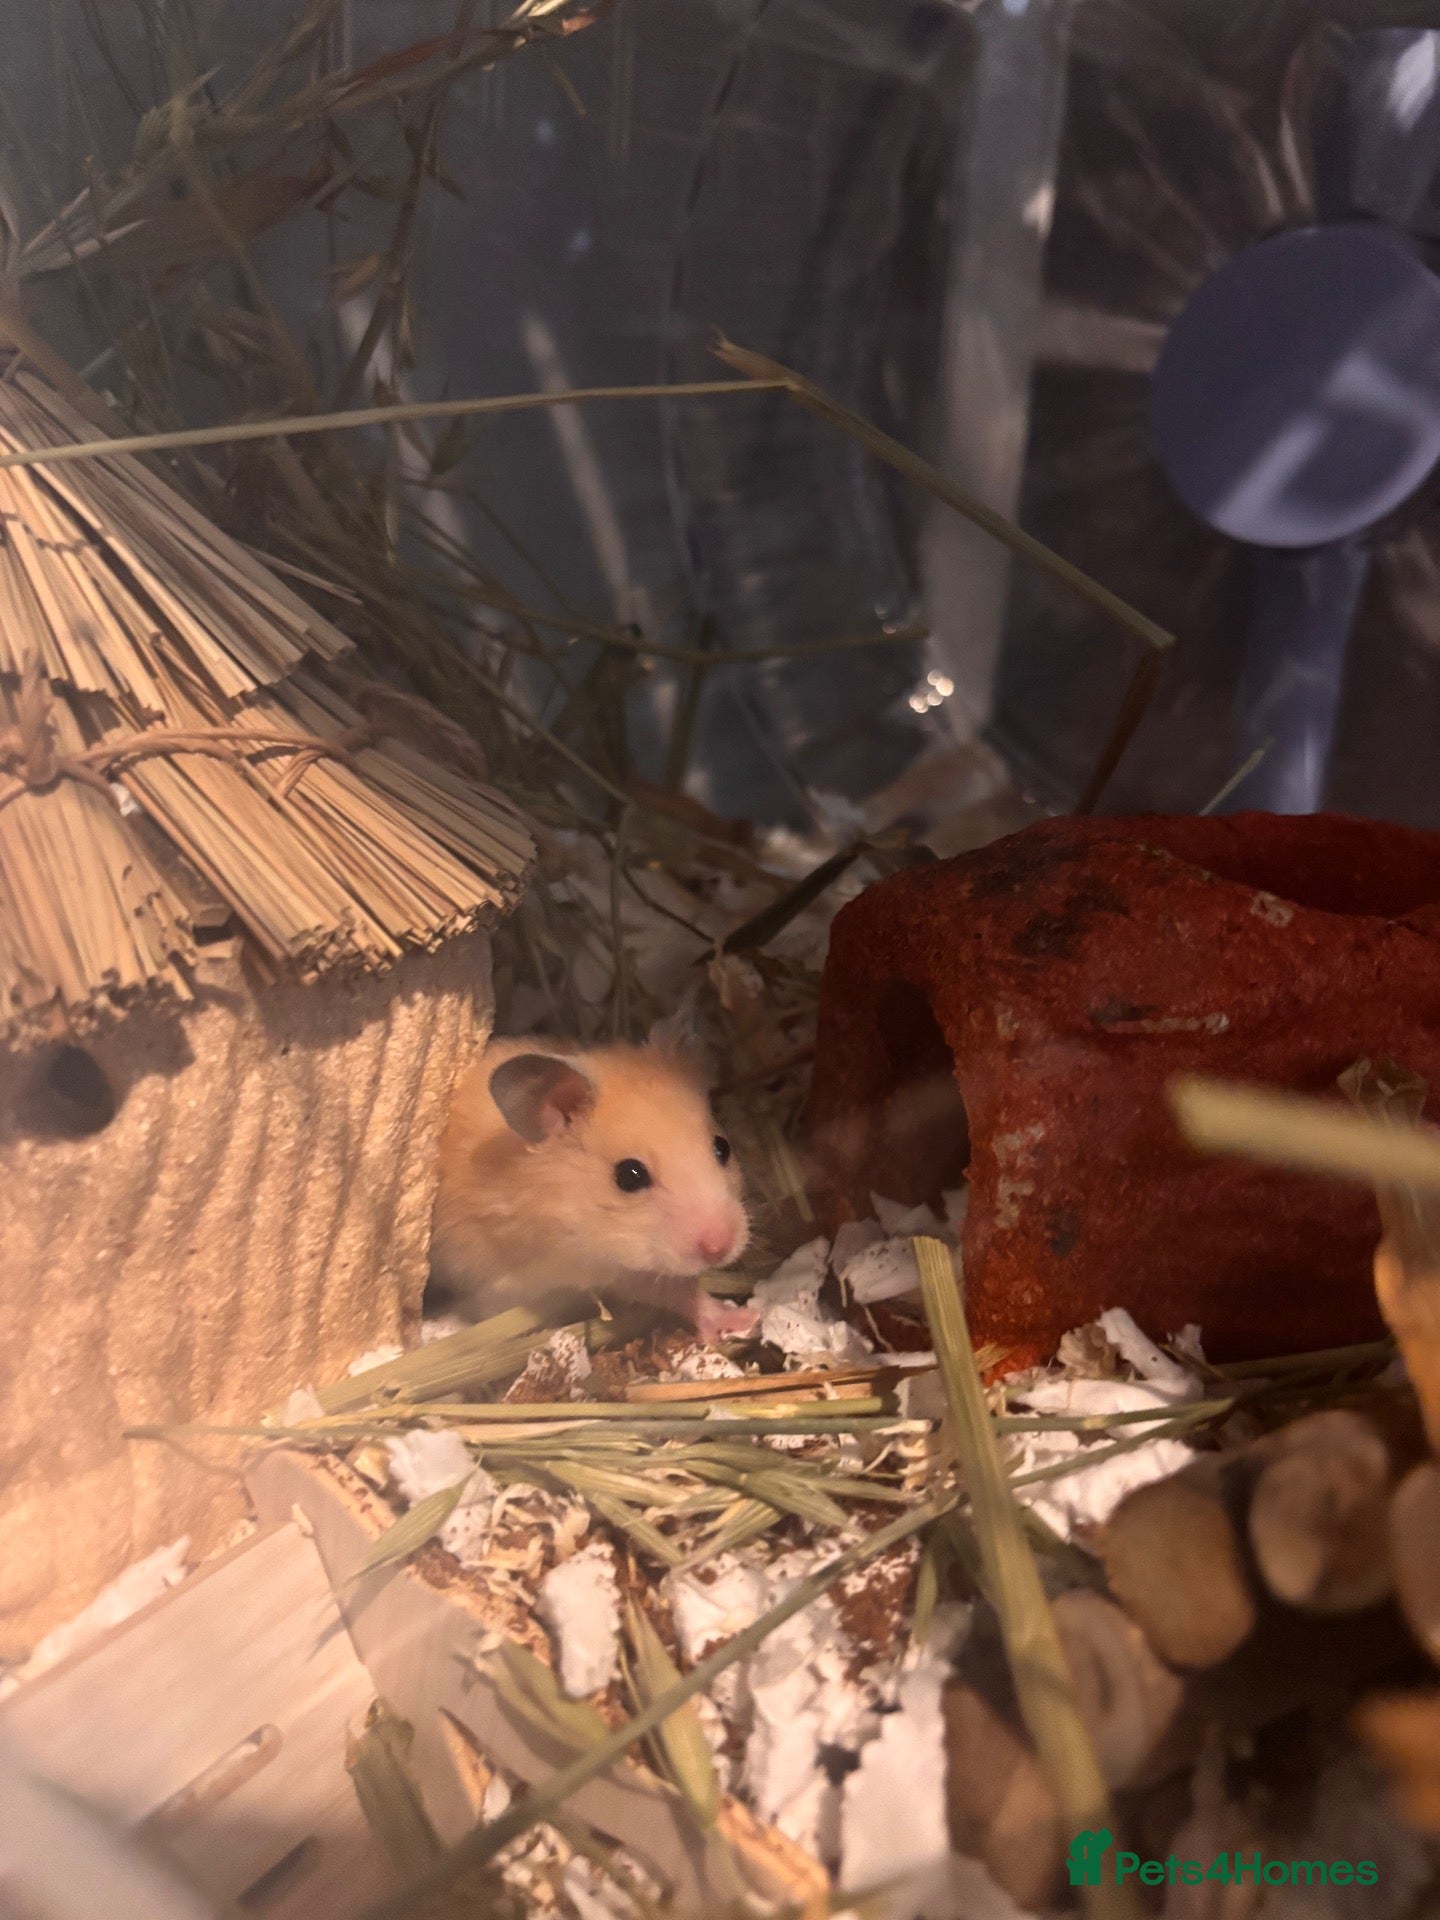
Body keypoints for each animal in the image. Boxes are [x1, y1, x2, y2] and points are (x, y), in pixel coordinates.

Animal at [431, 1036, 757, 1343]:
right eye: (629, 1175)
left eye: (722, 1148)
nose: (720, 1249)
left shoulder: (621, 1267)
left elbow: (679, 1291)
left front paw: (748, 1318)